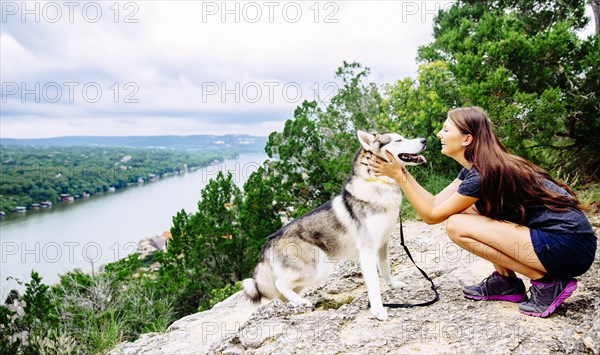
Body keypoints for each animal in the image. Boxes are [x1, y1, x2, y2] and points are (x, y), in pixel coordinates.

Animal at [240, 130, 426, 320]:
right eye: (398, 140)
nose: (424, 140)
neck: (378, 184)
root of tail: (269, 240)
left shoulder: (383, 244)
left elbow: (385, 269)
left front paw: (393, 285)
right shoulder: (367, 251)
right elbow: (374, 282)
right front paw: (378, 310)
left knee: (283, 293)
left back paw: (295, 303)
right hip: (318, 268)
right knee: (280, 284)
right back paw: (301, 302)